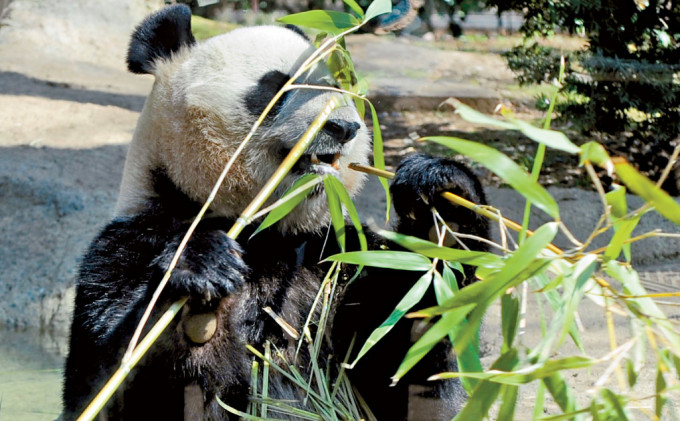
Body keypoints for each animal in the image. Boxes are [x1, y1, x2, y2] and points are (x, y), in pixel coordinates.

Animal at [62, 4, 488, 420]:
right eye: (280, 86)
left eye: (336, 88)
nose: (343, 126)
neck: (267, 234)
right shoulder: (128, 244)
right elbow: (110, 384)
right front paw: (201, 284)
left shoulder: (339, 258)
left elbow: (413, 364)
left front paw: (441, 203)